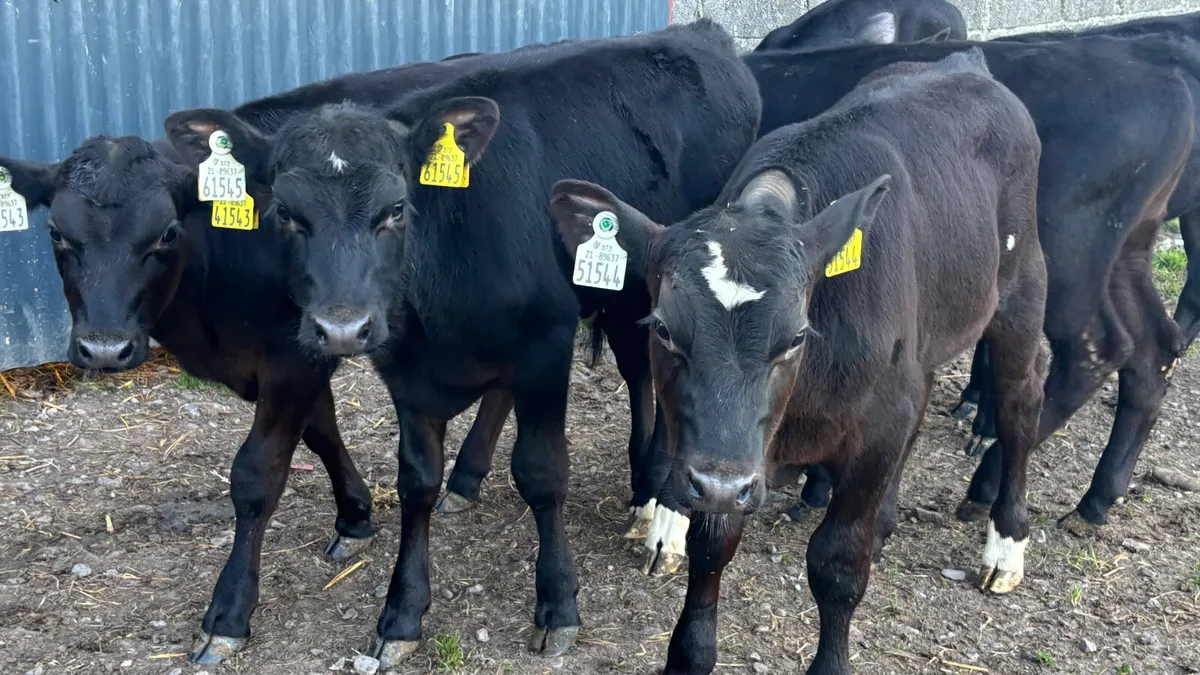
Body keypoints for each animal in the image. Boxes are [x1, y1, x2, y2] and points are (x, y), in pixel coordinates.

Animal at [0, 53, 540, 665]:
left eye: (166, 234)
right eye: (55, 233)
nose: (104, 348)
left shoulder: (290, 357)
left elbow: (257, 473)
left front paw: (229, 613)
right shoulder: (303, 351)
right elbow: (321, 433)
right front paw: (355, 515)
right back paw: (465, 479)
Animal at [162, 18, 761, 667]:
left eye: (397, 208)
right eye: (285, 214)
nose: (341, 328)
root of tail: (699, 32)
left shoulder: (545, 345)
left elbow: (542, 473)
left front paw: (557, 605)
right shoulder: (403, 369)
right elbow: (416, 481)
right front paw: (401, 613)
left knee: (650, 374)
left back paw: (661, 506)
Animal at [550, 48, 1045, 675]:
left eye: (795, 337)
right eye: (663, 328)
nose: (721, 482)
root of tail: (967, 62)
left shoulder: (870, 428)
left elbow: (837, 565)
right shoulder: (730, 457)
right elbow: (710, 551)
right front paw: (690, 650)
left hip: (1021, 287)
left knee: (1020, 401)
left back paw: (1006, 545)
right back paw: (890, 520)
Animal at [744, 36, 1193, 538]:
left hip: (1063, 259)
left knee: (1083, 355)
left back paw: (990, 487)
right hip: (1126, 251)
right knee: (1154, 346)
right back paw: (1094, 499)